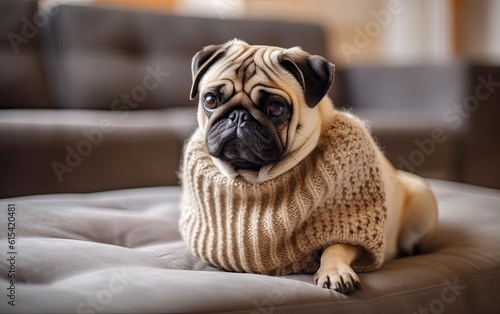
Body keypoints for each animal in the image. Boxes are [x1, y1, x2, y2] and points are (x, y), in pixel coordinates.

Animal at [180, 39, 438, 294]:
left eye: (276, 108)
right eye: (210, 100)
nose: (238, 117)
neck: (254, 176)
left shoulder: (352, 228)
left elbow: (336, 247)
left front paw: (335, 271)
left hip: (421, 201)